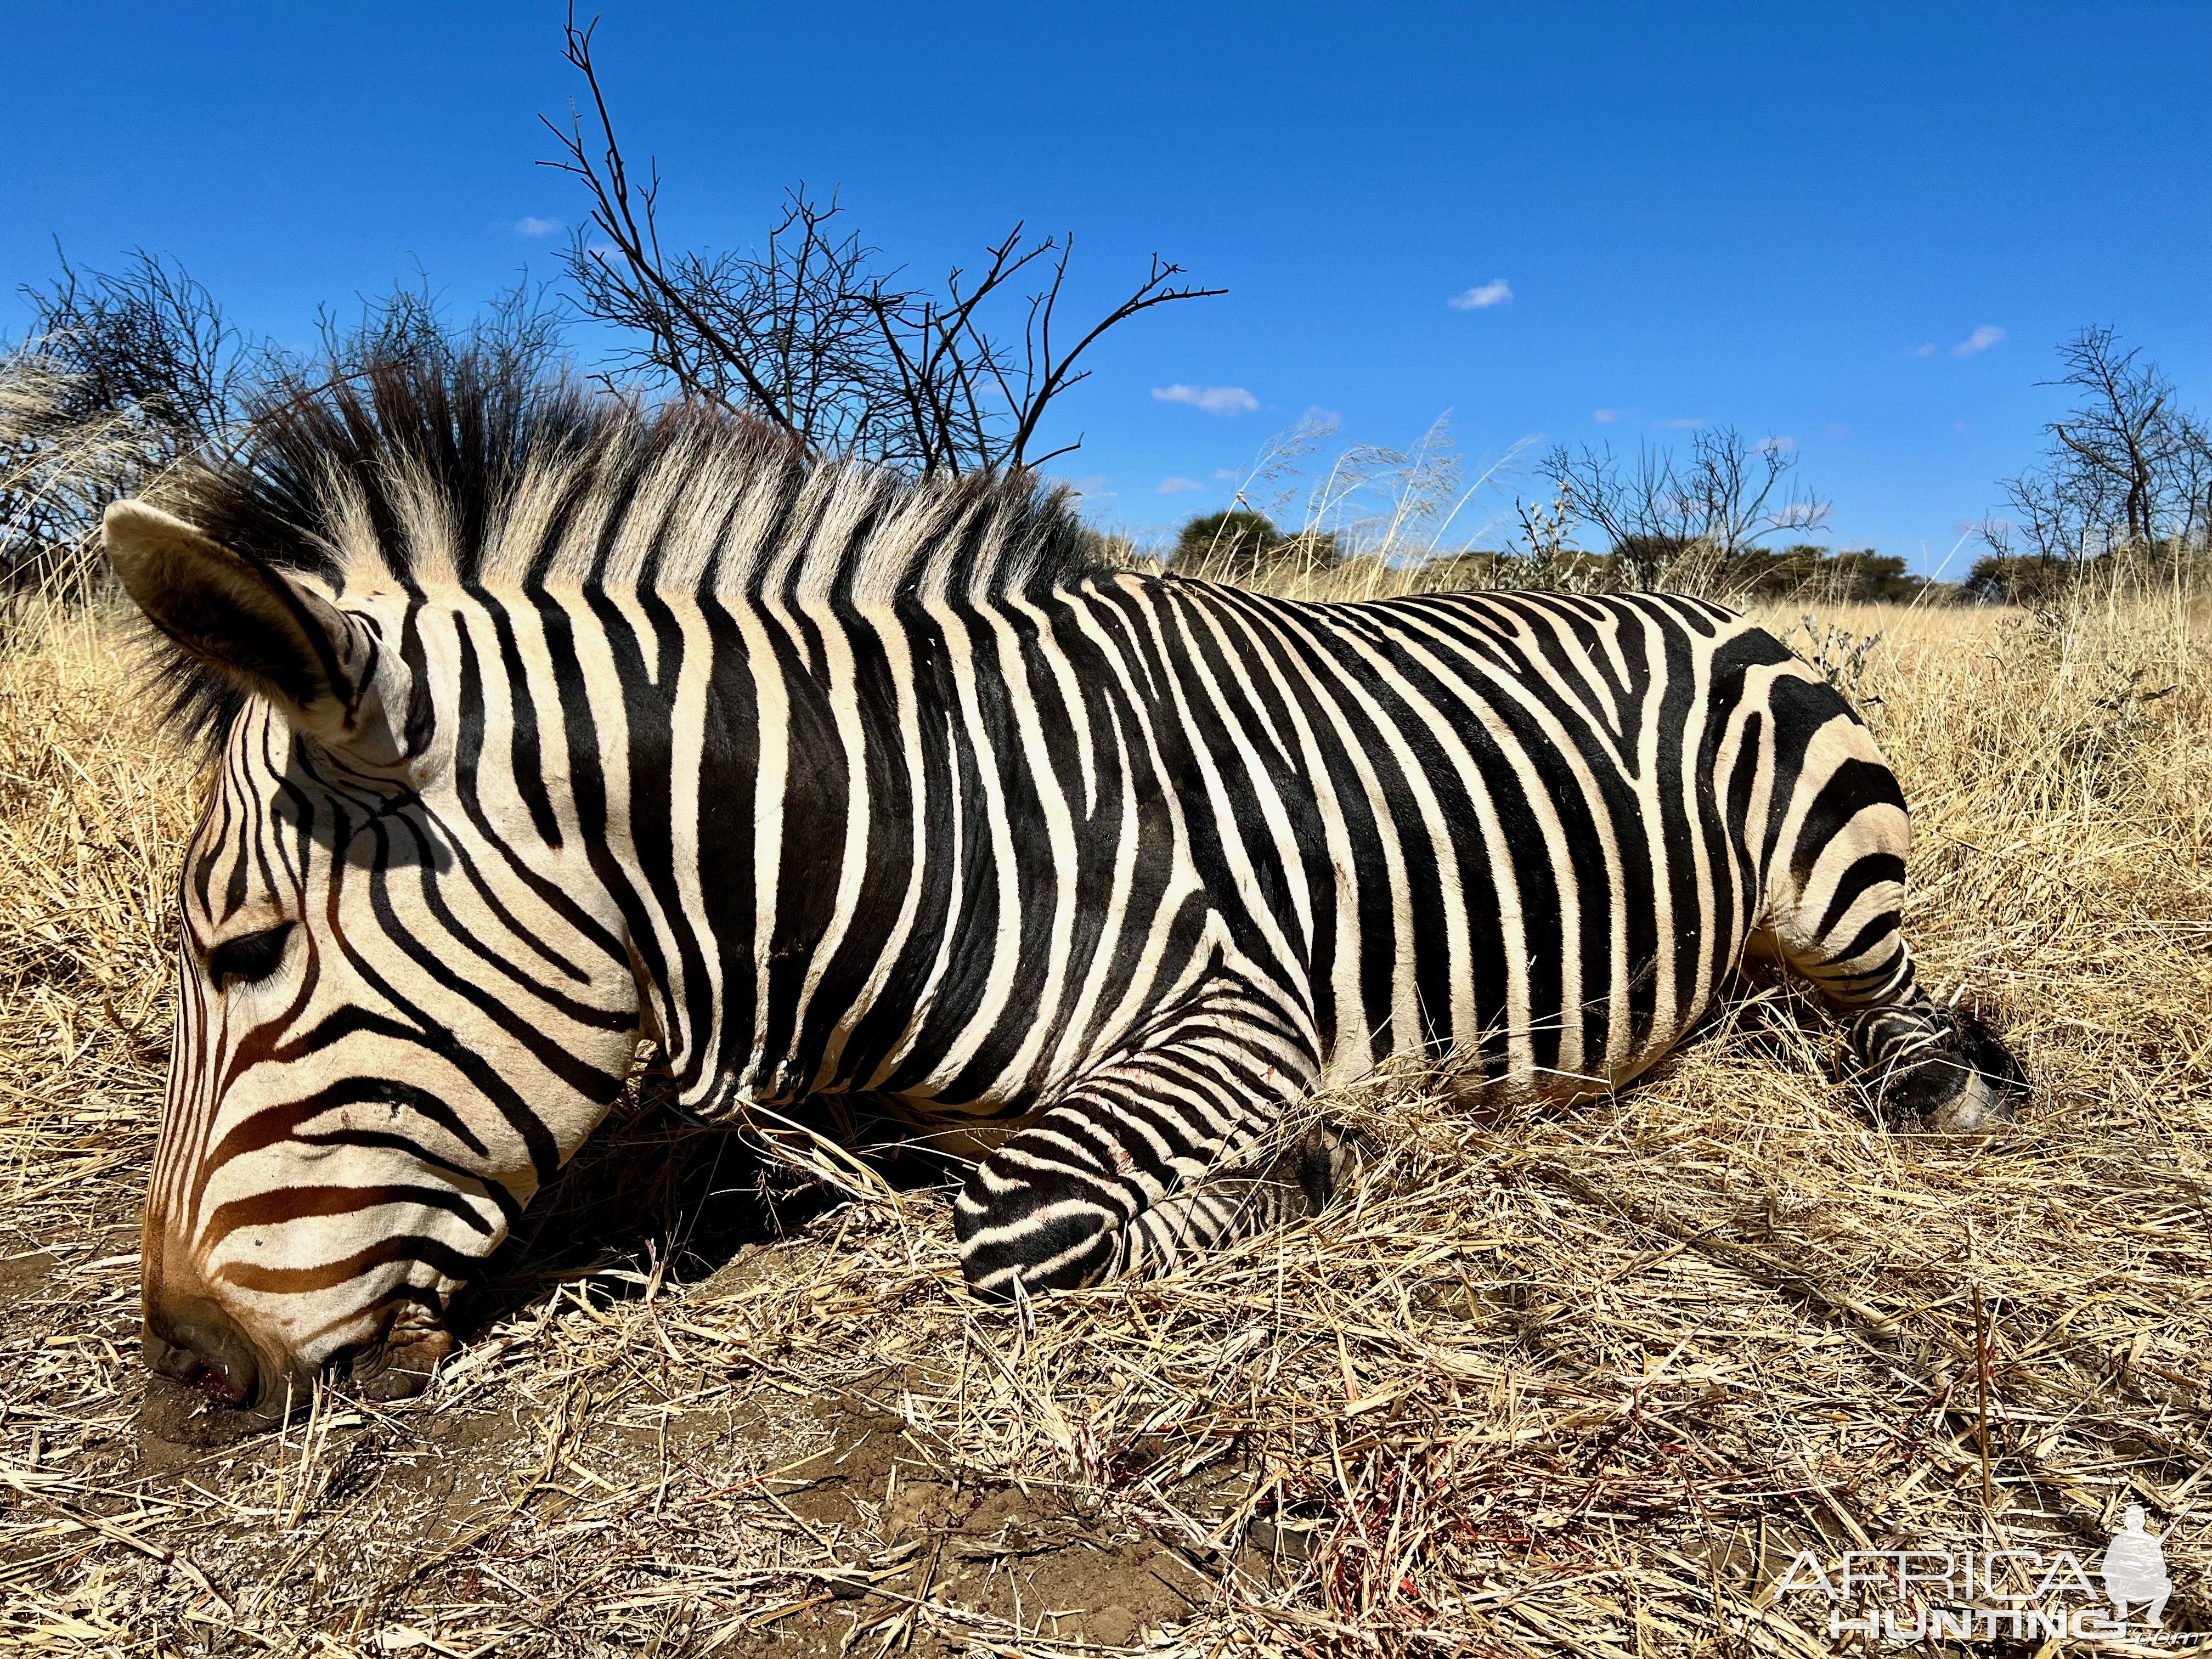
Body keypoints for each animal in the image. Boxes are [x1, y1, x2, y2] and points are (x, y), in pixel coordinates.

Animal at [108, 360, 2026, 1415]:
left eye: (243, 949)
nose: (182, 1373)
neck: (898, 843)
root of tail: (1706, 591)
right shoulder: (808, 1102)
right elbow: (672, 1205)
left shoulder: (1242, 1015)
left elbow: (1014, 1222)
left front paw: (1307, 1174)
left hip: (1836, 885)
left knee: (1902, 1019)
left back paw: (1934, 1083)